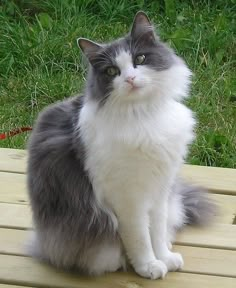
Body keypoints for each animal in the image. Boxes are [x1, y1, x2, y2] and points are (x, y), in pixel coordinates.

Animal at [27, 11, 216, 280]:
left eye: (140, 59)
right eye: (111, 70)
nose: (130, 78)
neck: (142, 115)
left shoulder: (160, 188)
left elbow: (157, 232)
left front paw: (164, 258)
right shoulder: (127, 197)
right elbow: (139, 237)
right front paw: (148, 266)